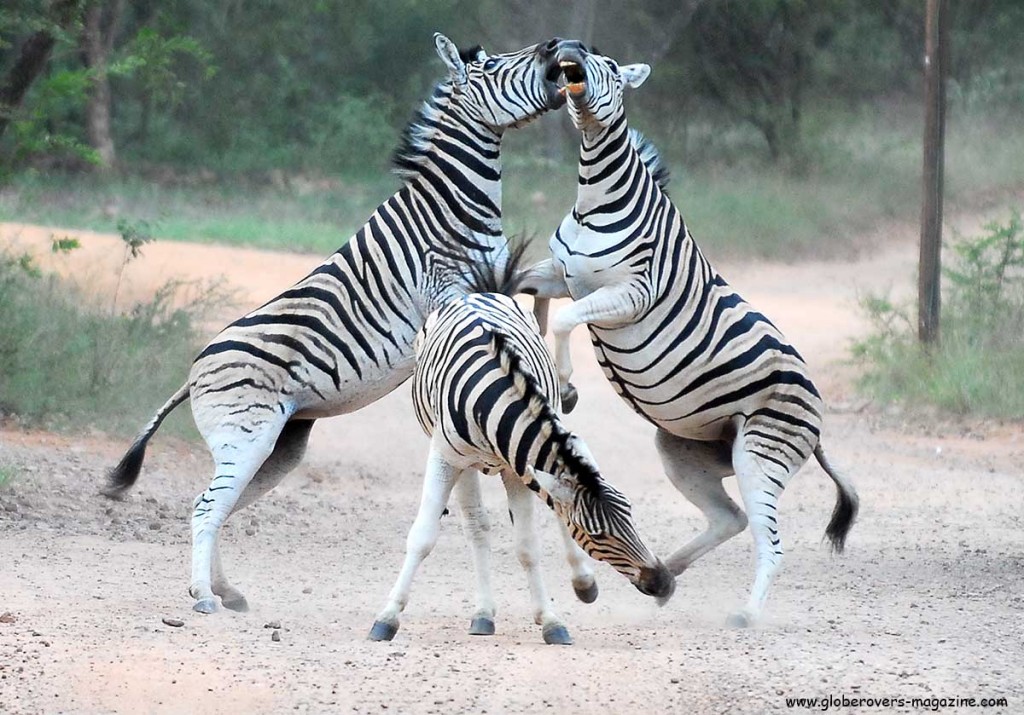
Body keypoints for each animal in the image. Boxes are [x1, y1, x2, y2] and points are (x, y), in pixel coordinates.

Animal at [104, 33, 573, 614]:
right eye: (489, 67)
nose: (553, 46)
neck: (453, 207)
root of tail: (192, 373)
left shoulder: (500, 278)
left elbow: (539, 299)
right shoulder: (447, 290)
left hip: (277, 446)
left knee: (218, 506)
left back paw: (225, 590)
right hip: (246, 436)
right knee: (205, 507)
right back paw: (204, 598)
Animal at [372, 251, 675, 647]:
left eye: (632, 514)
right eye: (597, 535)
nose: (665, 583)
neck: (492, 398)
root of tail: (483, 292)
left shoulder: (517, 467)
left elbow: (528, 547)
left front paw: (551, 620)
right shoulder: (446, 458)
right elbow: (422, 537)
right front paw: (388, 616)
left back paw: (582, 582)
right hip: (463, 464)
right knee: (477, 525)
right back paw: (483, 614)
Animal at [520, 43, 856, 622]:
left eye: (608, 64)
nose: (572, 49)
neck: (594, 201)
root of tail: (818, 419)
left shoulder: (633, 293)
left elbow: (564, 320)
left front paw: (565, 384)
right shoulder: (564, 275)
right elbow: (529, 286)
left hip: (759, 455)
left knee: (770, 541)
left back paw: (746, 616)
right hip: (684, 449)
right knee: (730, 519)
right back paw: (665, 575)